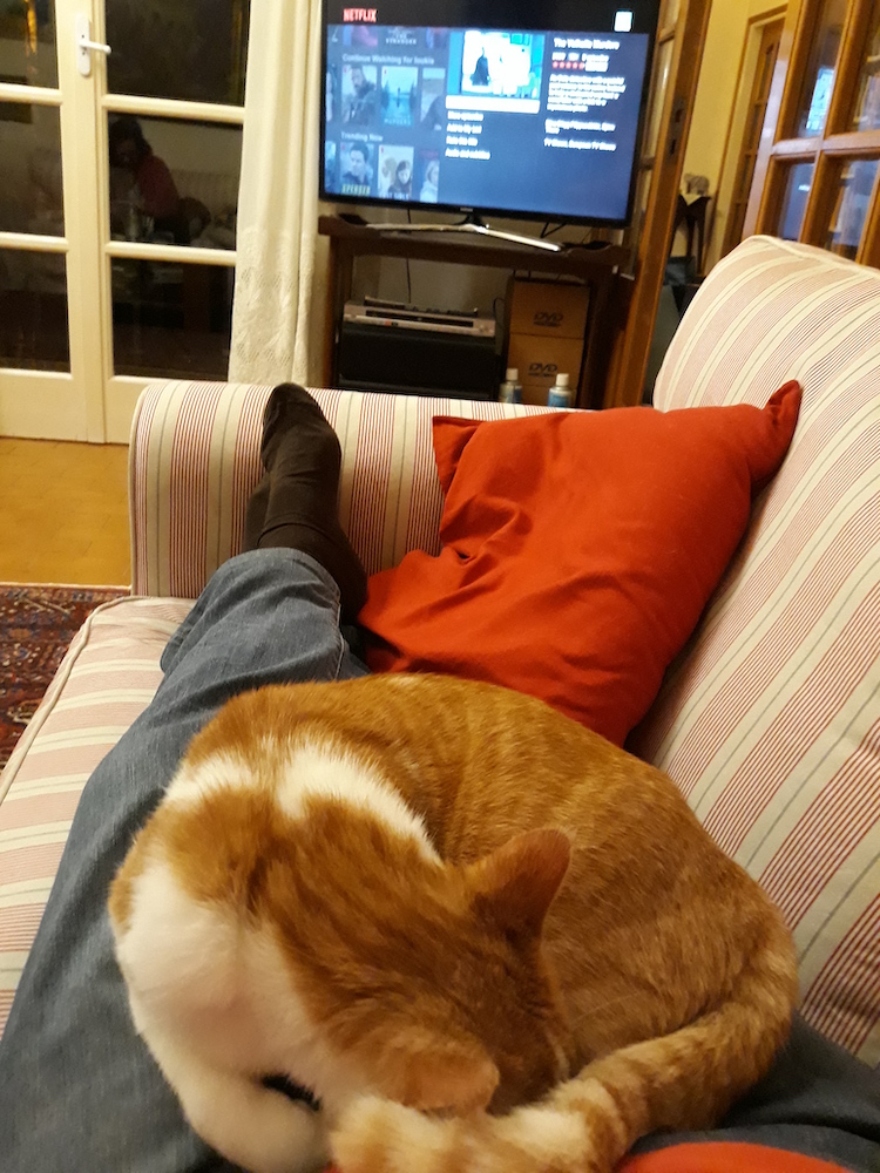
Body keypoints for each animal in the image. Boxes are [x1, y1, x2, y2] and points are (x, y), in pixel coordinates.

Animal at [108, 672, 799, 1173]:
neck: (292, 856)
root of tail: (758, 906)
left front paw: (324, 1131)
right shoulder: (153, 978)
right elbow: (225, 1112)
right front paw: (299, 1131)